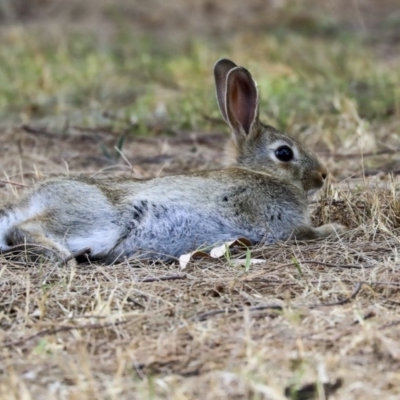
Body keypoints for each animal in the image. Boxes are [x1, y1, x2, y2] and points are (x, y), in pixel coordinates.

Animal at [0, 57, 344, 264]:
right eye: (284, 153)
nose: (323, 175)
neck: (261, 174)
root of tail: (32, 199)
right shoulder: (279, 223)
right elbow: (308, 233)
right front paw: (336, 228)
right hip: (97, 220)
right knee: (24, 230)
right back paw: (62, 255)